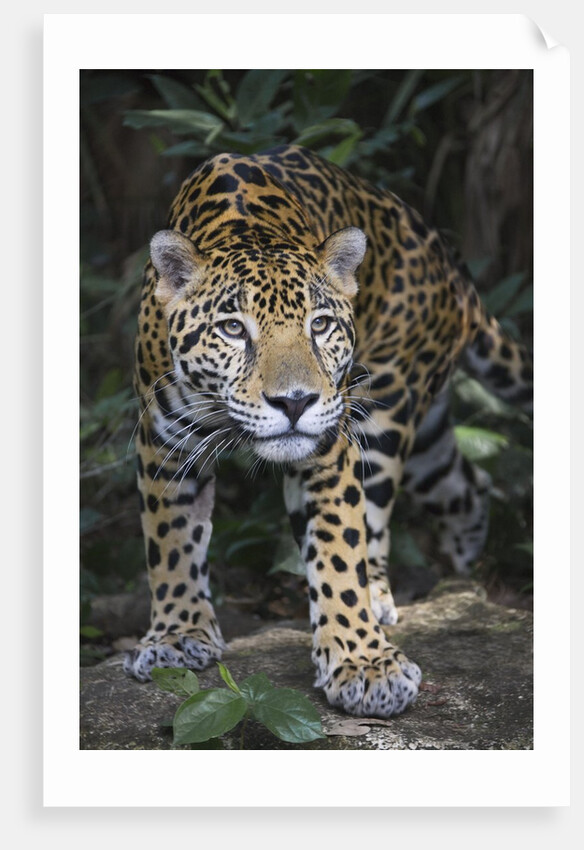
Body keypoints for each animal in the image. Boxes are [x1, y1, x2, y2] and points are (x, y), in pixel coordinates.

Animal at [124, 144, 532, 719]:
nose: (295, 401)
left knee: (379, 517)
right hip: (427, 434)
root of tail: (451, 267)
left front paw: (365, 664)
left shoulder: (330, 449)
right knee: (467, 484)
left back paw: (380, 596)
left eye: (319, 325)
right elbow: (171, 541)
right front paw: (176, 635)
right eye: (232, 329)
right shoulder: (164, 443)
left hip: (388, 409)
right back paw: (465, 562)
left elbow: (340, 550)